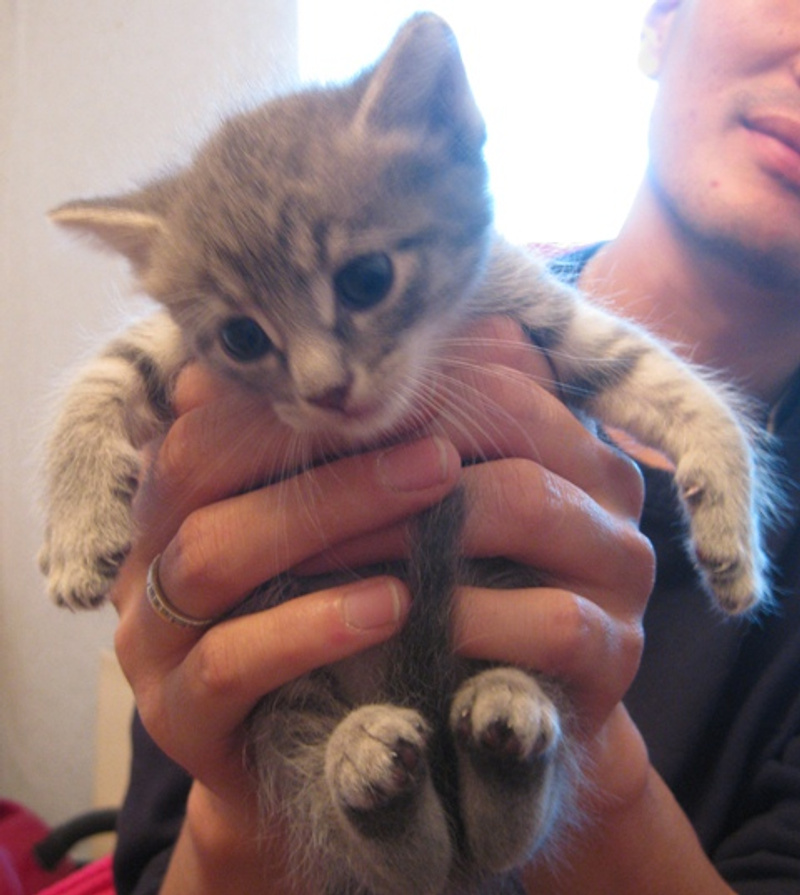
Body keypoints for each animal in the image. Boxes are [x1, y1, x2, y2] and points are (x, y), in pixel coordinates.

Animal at [40, 13, 773, 895]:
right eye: (243, 337)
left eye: (367, 278)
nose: (326, 390)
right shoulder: (172, 348)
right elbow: (99, 378)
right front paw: (76, 536)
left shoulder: (539, 306)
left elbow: (670, 382)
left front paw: (734, 540)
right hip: (283, 704)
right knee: (382, 842)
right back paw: (375, 777)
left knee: (511, 822)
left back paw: (506, 729)